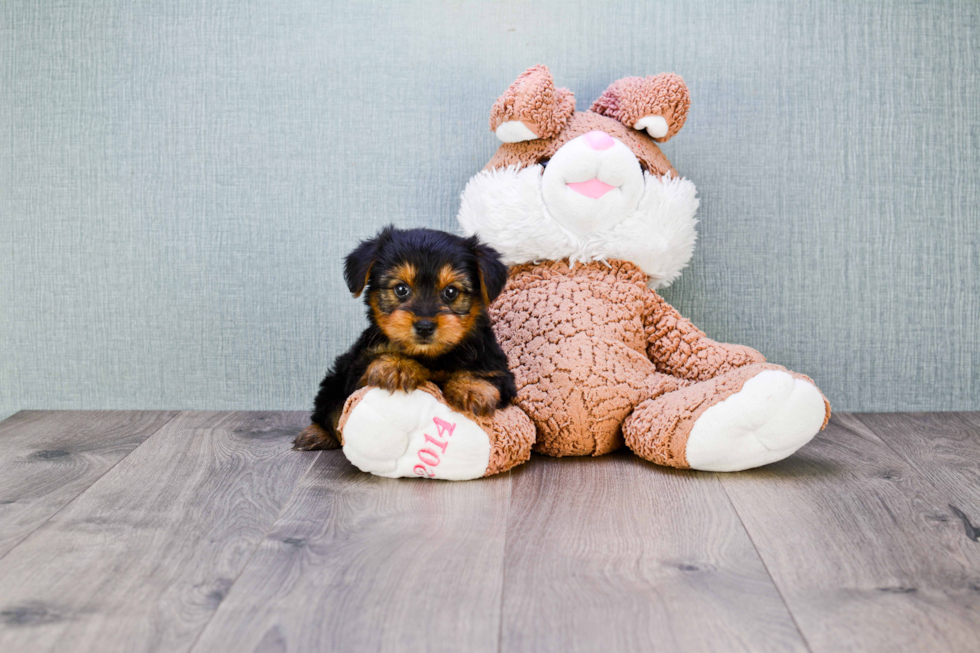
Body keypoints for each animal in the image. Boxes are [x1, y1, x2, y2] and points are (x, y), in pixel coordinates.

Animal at [294, 224, 516, 448]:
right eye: (401, 289)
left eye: (451, 292)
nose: (425, 326)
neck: (430, 356)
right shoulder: (358, 368)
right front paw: (397, 365)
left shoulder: (498, 369)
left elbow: (487, 374)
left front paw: (472, 388)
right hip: (334, 381)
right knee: (331, 410)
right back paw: (316, 433)